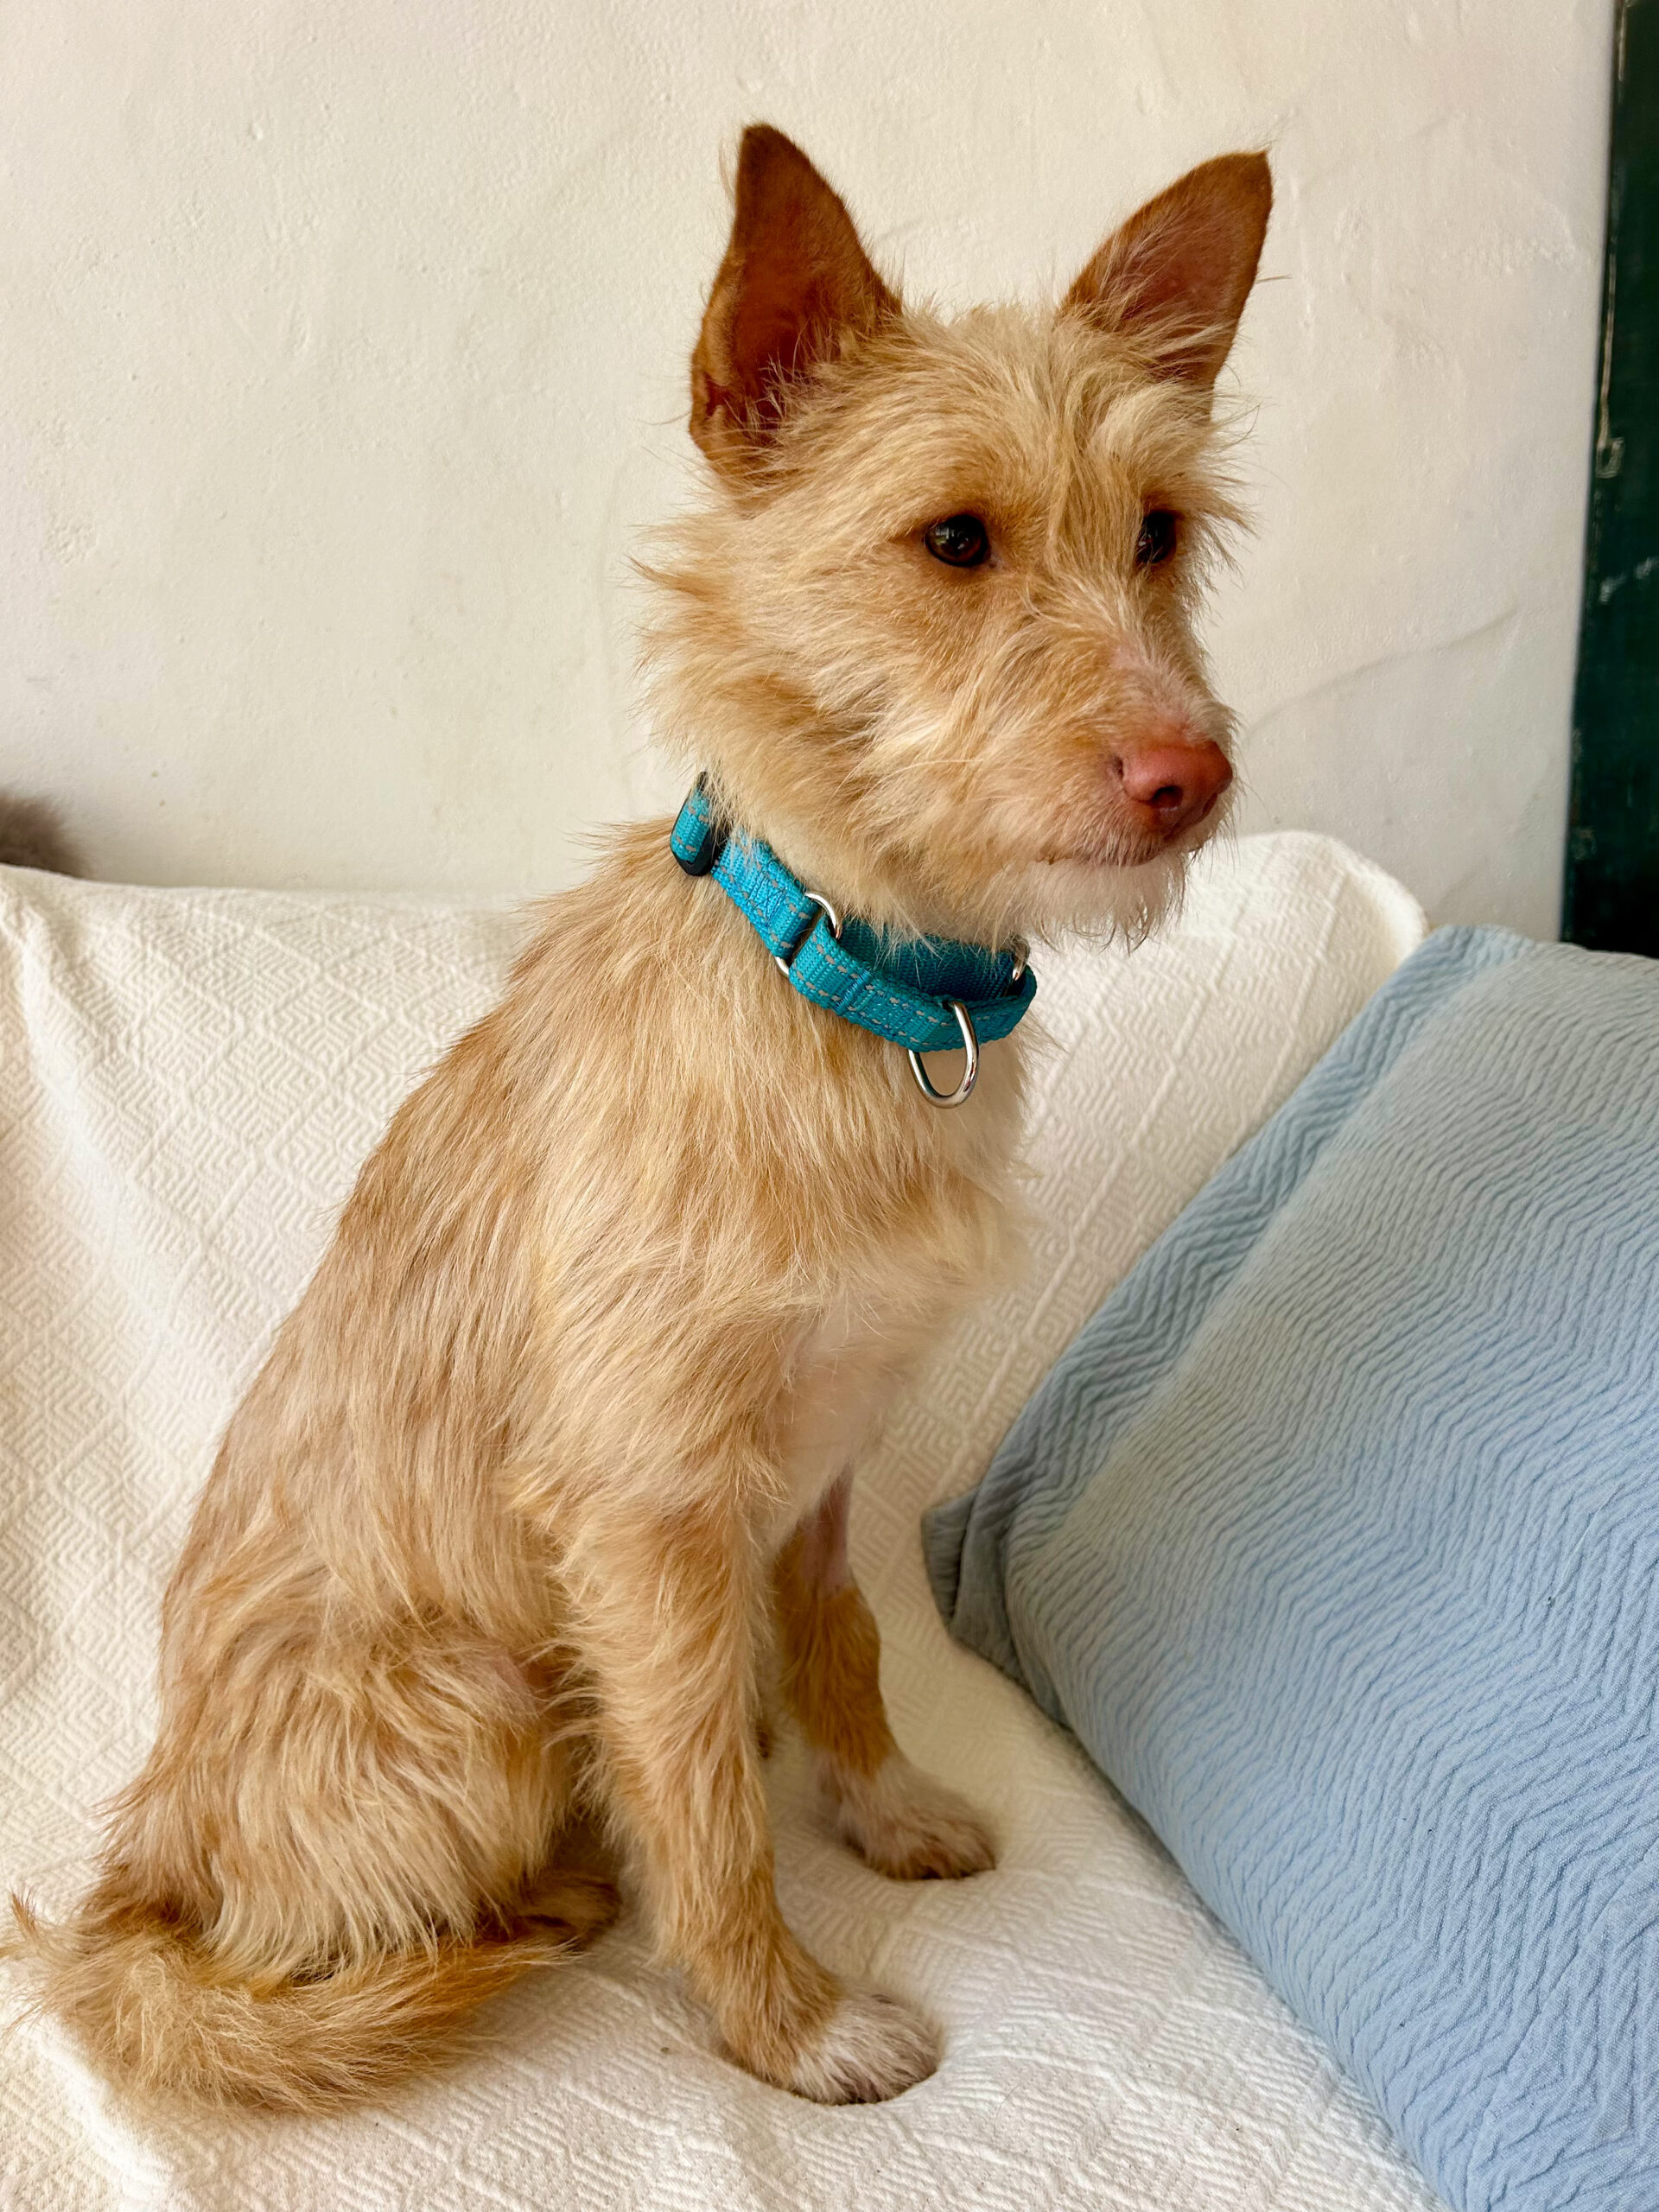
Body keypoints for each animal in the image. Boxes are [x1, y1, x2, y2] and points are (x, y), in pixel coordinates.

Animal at [9, 124, 1270, 2110]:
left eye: (1158, 532)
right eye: (954, 540)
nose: (1191, 775)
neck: (853, 990)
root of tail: (139, 1878)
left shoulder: (821, 1468)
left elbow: (841, 1648)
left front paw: (883, 1810)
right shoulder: (650, 1508)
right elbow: (695, 1787)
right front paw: (785, 2017)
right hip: (478, 1699)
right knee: (362, 1928)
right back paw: (554, 1901)